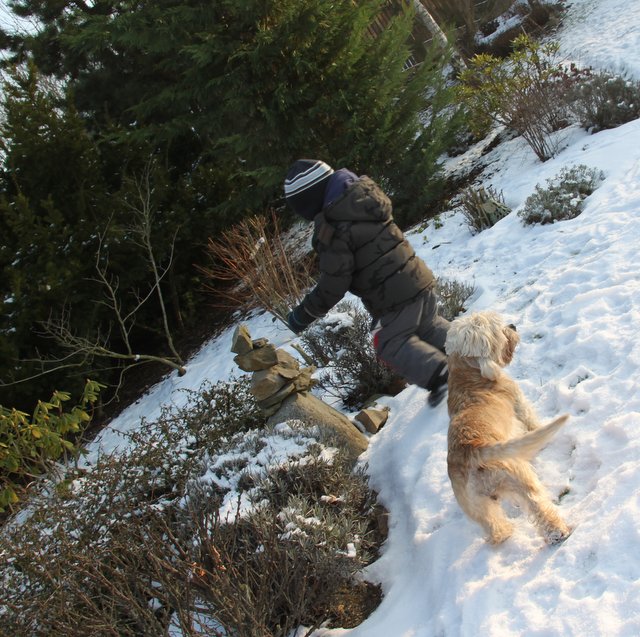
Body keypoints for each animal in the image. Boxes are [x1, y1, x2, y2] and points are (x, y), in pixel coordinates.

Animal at [444, 311, 570, 545]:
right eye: (496, 328)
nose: (512, 325)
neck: (467, 372)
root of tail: (469, 450)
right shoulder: (520, 404)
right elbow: (532, 422)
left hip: (480, 509)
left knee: (495, 528)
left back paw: (506, 535)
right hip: (520, 477)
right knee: (537, 505)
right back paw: (559, 531)